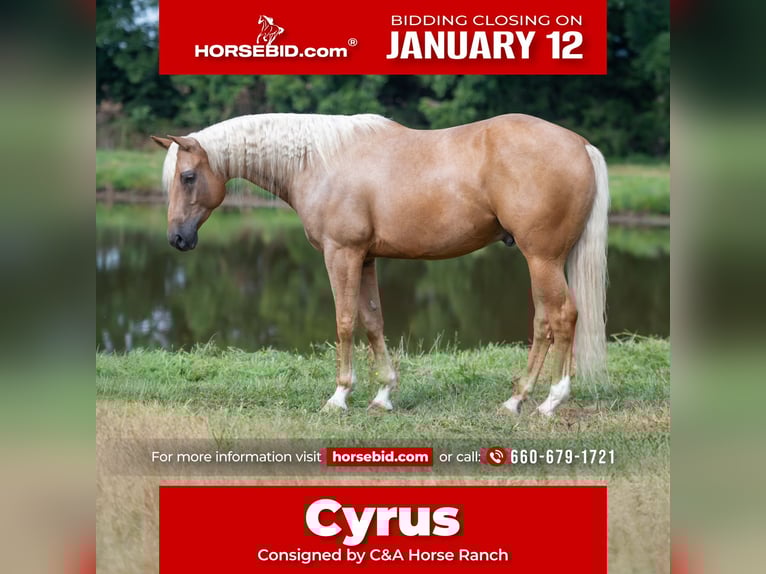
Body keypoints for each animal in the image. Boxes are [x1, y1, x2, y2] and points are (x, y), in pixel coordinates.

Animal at [152, 112, 609, 417]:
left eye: (188, 177)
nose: (177, 239)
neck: (318, 161)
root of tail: (580, 144)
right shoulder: (366, 258)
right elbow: (373, 321)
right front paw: (383, 394)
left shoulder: (342, 253)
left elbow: (344, 321)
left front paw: (339, 396)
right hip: (546, 260)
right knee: (549, 320)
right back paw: (523, 398)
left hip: (541, 258)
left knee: (560, 317)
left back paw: (543, 401)